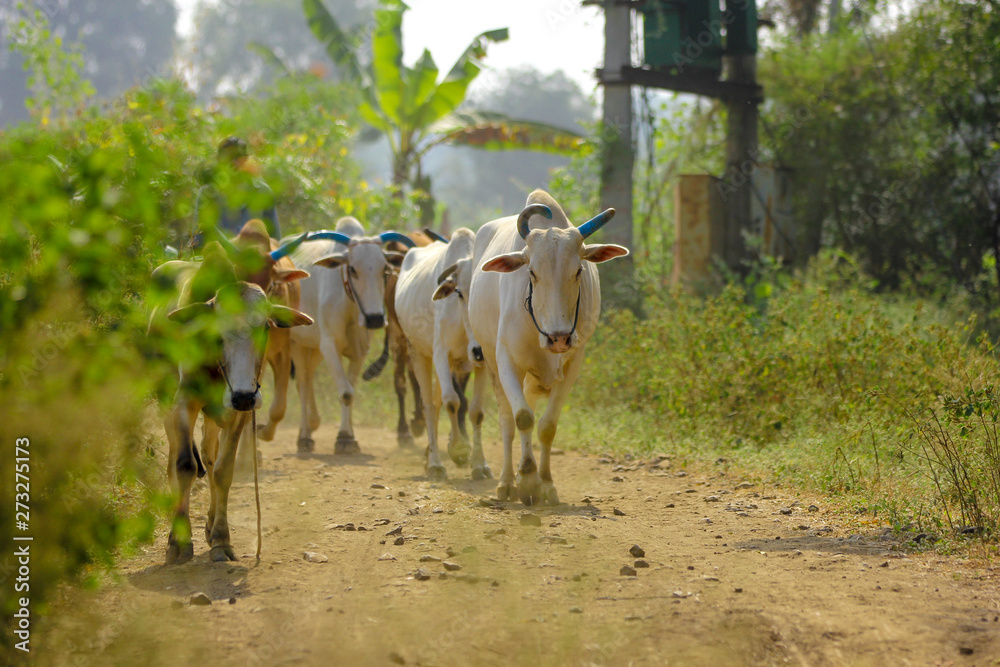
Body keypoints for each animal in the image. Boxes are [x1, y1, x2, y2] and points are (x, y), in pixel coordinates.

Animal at [150, 220, 313, 564]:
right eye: (217, 328)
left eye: (265, 325)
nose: (243, 395)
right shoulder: (184, 402)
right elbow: (185, 465)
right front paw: (179, 543)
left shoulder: (240, 411)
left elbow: (223, 470)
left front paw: (222, 539)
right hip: (165, 398)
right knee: (176, 457)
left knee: (209, 456)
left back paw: (210, 524)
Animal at [287, 217, 414, 454]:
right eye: (353, 269)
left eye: (385, 269)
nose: (375, 318)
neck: (350, 303)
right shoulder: (329, 345)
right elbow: (345, 392)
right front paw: (344, 438)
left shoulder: (359, 352)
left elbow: (351, 391)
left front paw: (350, 436)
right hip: (297, 344)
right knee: (303, 385)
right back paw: (304, 436)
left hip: (314, 349)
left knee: (308, 380)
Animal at [395, 228, 492, 480]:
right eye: (458, 292)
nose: (478, 350)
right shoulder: (440, 354)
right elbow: (452, 402)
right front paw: (458, 449)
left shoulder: (482, 364)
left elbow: (476, 411)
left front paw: (480, 465)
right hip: (418, 354)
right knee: (430, 406)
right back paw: (435, 463)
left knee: (437, 403)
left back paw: (430, 456)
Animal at [468, 190, 628, 506]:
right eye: (531, 272)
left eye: (578, 270)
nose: (559, 338)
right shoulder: (506, 361)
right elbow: (521, 418)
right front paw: (528, 481)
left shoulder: (573, 364)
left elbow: (547, 426)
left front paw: (545, 483)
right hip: (491, 363)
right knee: (507, 421)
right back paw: (507, 482)